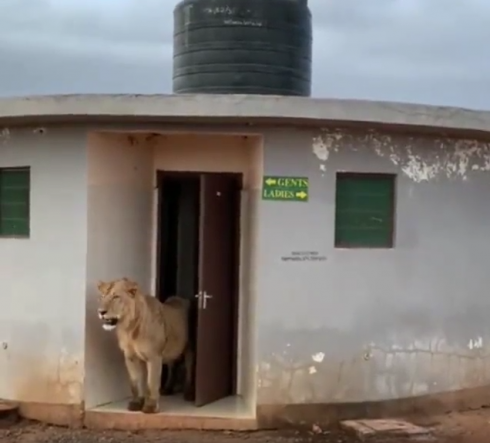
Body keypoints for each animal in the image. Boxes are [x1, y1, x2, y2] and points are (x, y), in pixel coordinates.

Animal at [95, 280, 193, 414]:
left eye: (116, 297)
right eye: (102, 296)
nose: (101, 312)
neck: (129, 329)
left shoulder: (154, 356)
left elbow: (151, 383)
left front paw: (150, 407)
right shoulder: (130, 357)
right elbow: (135, 383)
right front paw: (136, 403)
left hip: (189, 348)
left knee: (190, 367)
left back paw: (188, 393)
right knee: (172, 366)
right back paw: (167, 389)